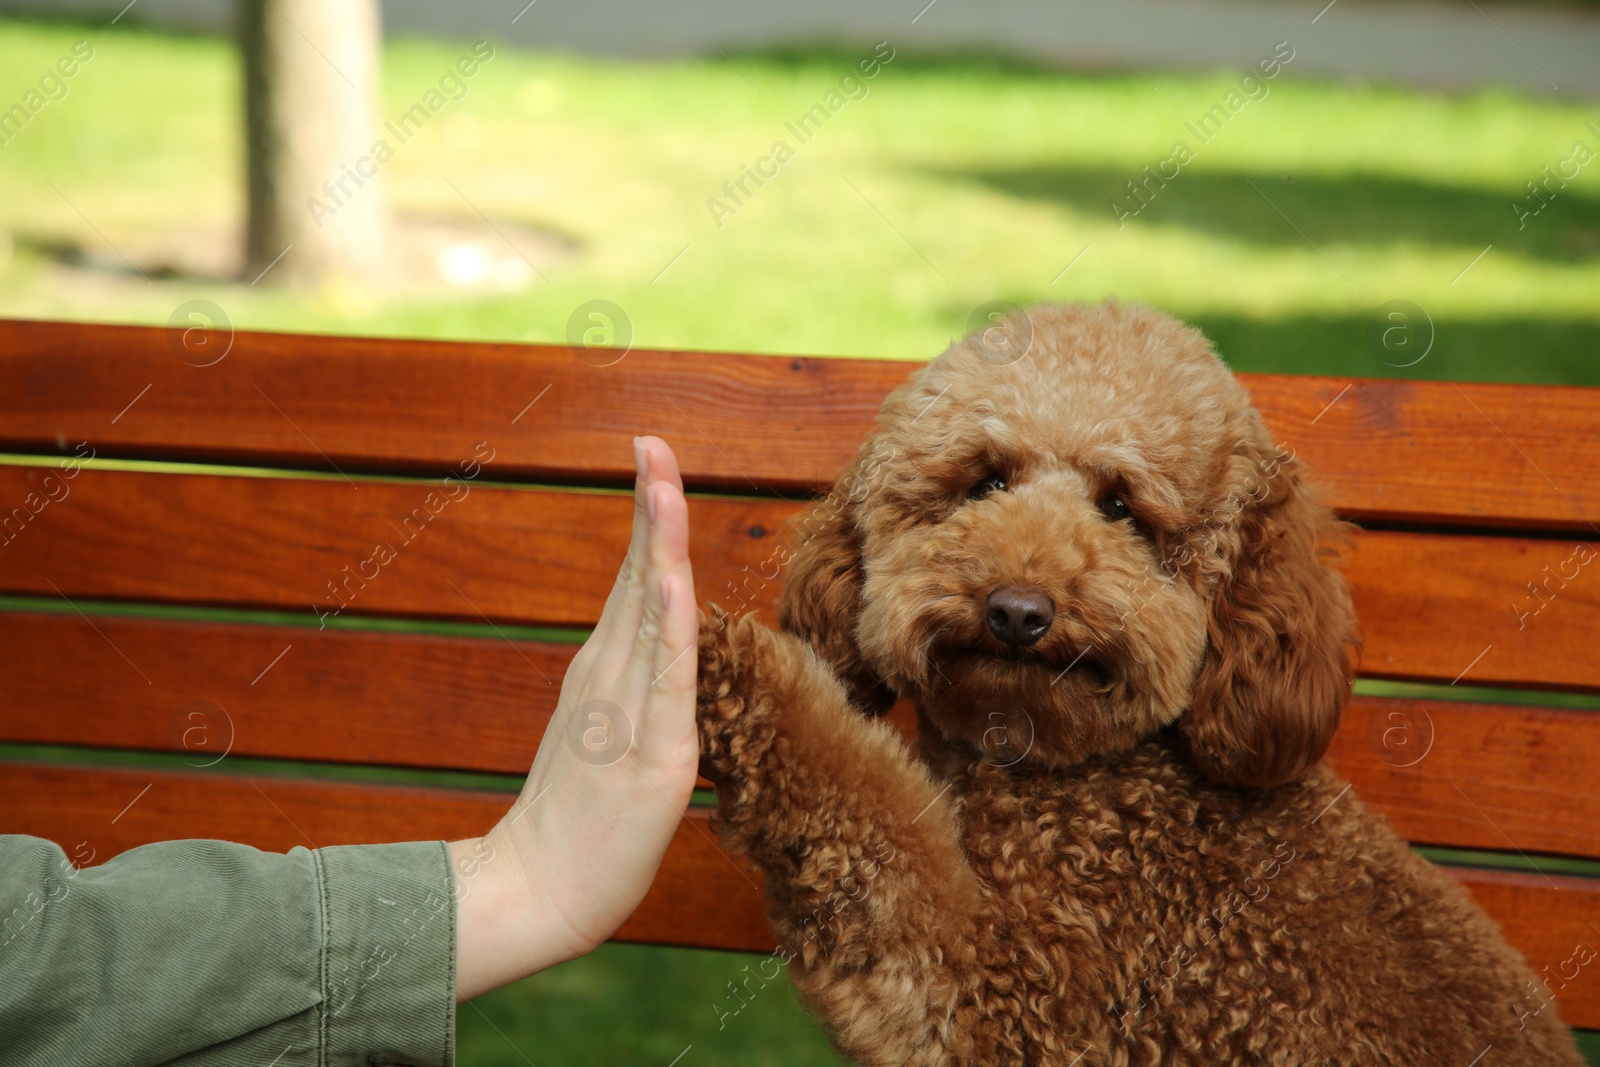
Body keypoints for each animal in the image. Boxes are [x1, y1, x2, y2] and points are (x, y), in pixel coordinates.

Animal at [694, 300, 1580, 1067]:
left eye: (1122, 507)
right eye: (986, 481)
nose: (1017, 611)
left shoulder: (1013, 1002)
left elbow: (875, 827)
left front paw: (720, 658)